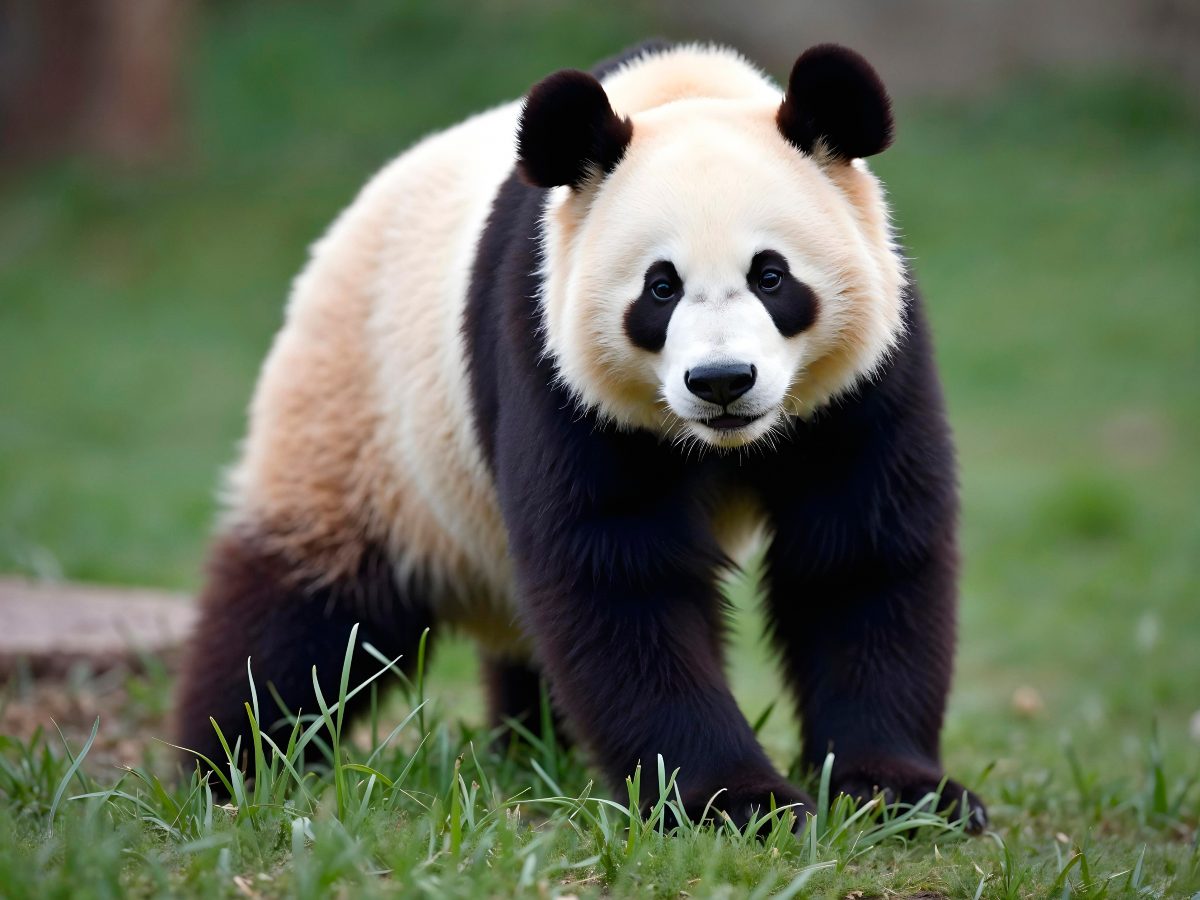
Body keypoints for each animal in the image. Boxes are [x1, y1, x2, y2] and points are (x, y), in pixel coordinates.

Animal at [177, 40, 987, 832]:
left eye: (772, 276)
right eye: (660, 287)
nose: (722, 381)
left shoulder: (867, 378)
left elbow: (860, 553)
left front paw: (901, 793)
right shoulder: (551, 354)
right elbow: (618, 574)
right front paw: (736, 803)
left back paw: (529, 746)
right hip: (363, 415)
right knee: (306, 612)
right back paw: (229, 767)